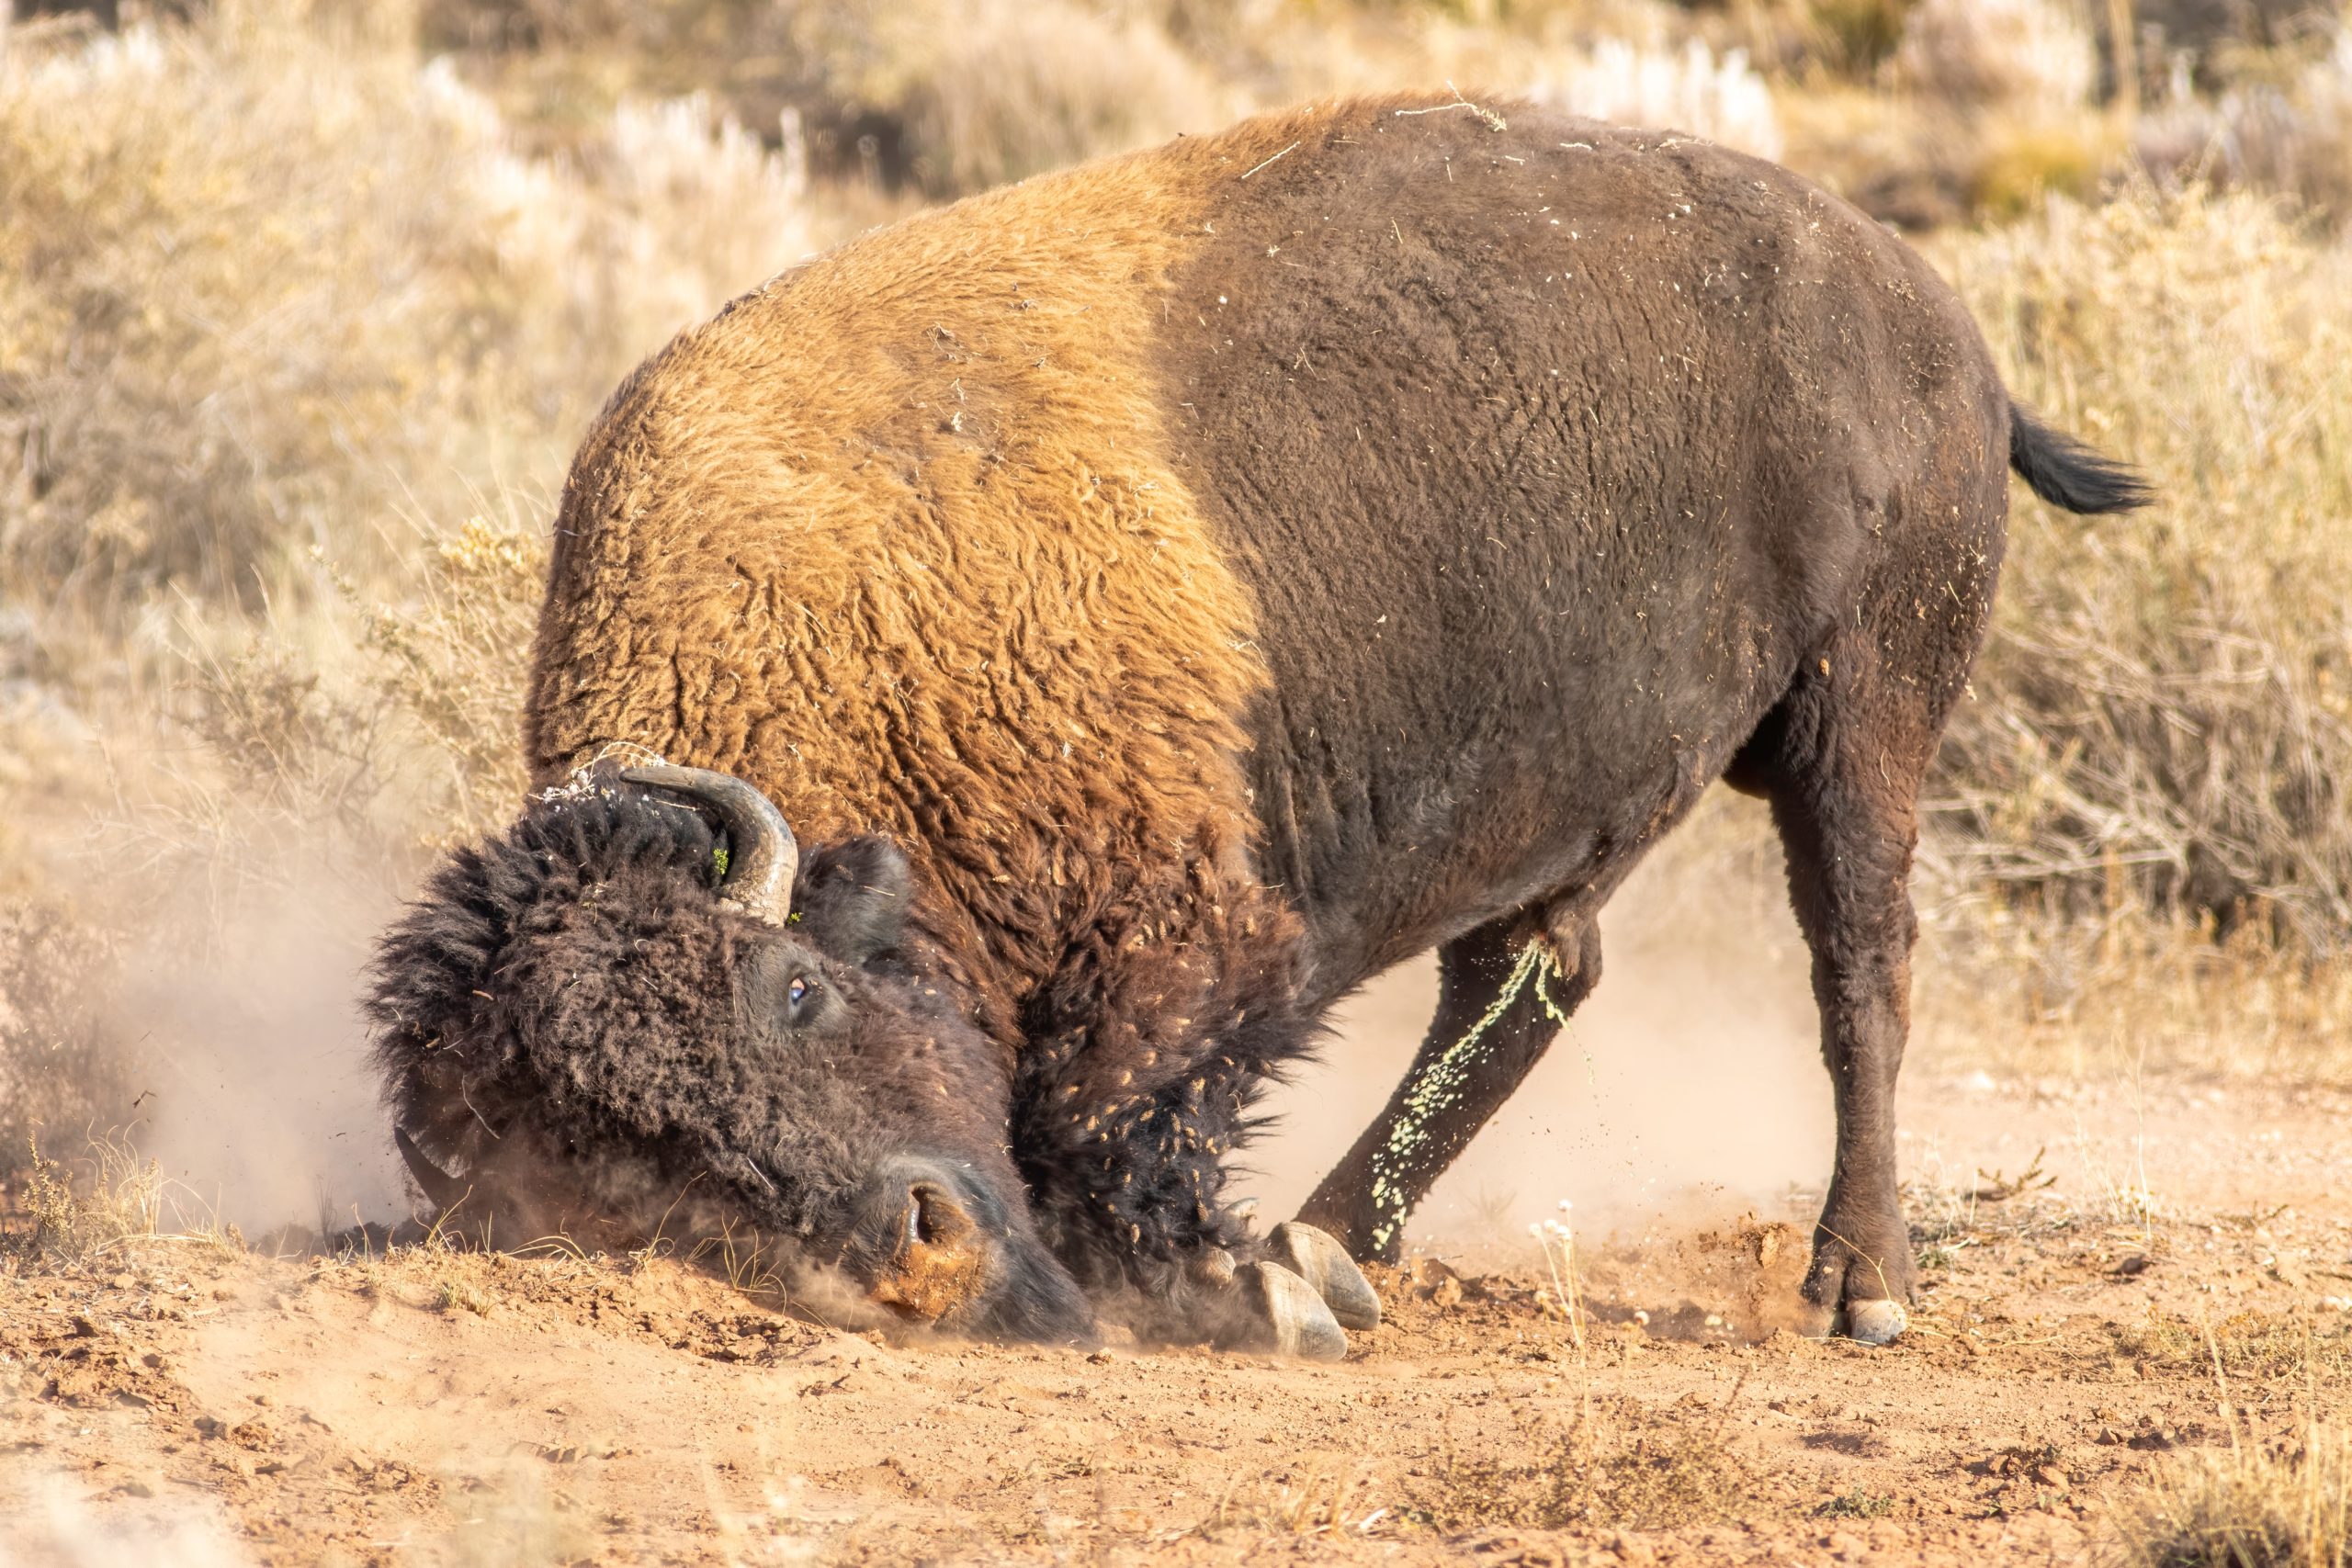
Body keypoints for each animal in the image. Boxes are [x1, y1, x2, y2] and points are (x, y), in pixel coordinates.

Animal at [367, 92, 2154, 1354]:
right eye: (631, 1177)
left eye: (796, 990)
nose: (921, 1247)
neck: (840, 644)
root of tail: (1934, 315)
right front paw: (1278, 1278)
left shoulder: (1205, 950)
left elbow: (1106, 1119)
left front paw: (1250, 1293)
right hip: (1579, 786)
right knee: (1532, 973)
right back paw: (1340, 1238)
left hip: (1860, 716)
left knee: (1859, 965)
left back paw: (1861, 1285)